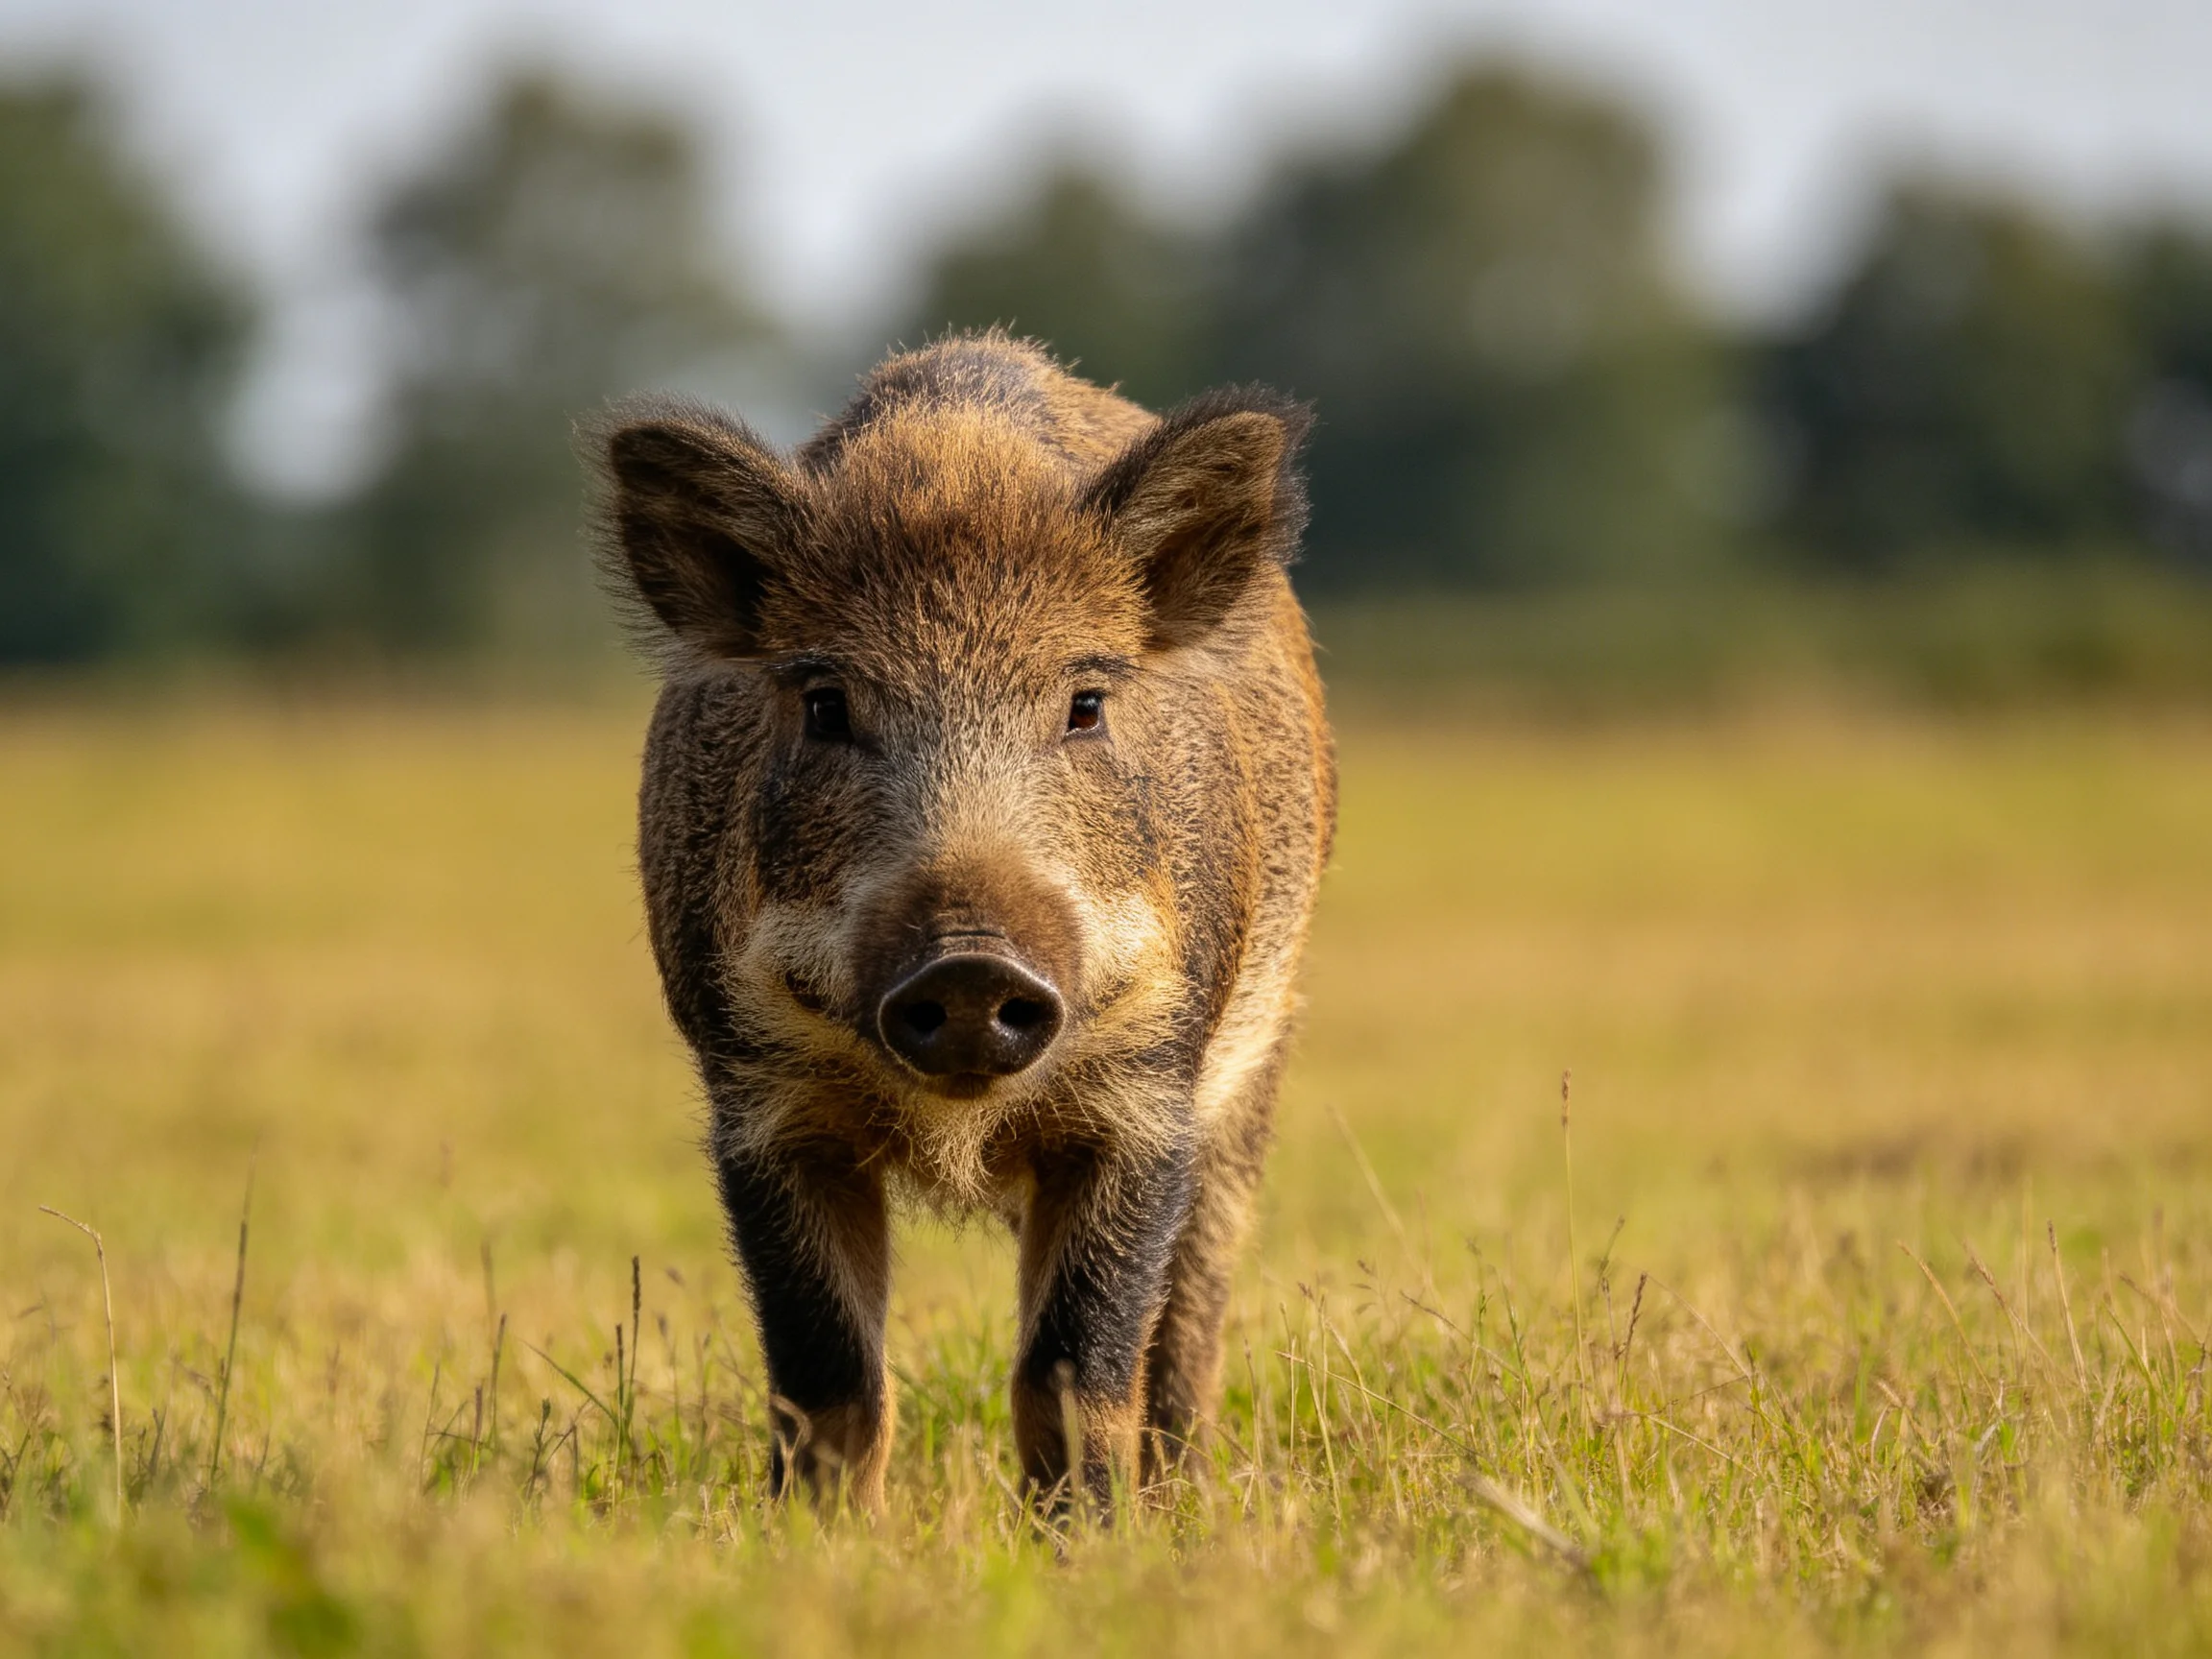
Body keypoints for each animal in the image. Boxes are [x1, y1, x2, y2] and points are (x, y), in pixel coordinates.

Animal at [588, 331, 1334, 1511]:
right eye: (825, 704)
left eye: (1085, 704)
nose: (971, 968)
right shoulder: (761, 1095)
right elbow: (830, 1379)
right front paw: (814, 1536)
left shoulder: (1145, 1091)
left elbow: (1073, 1373)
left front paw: (1093, 1539)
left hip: (1253, 1071)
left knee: (1189, 1330)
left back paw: (1186, 1500)